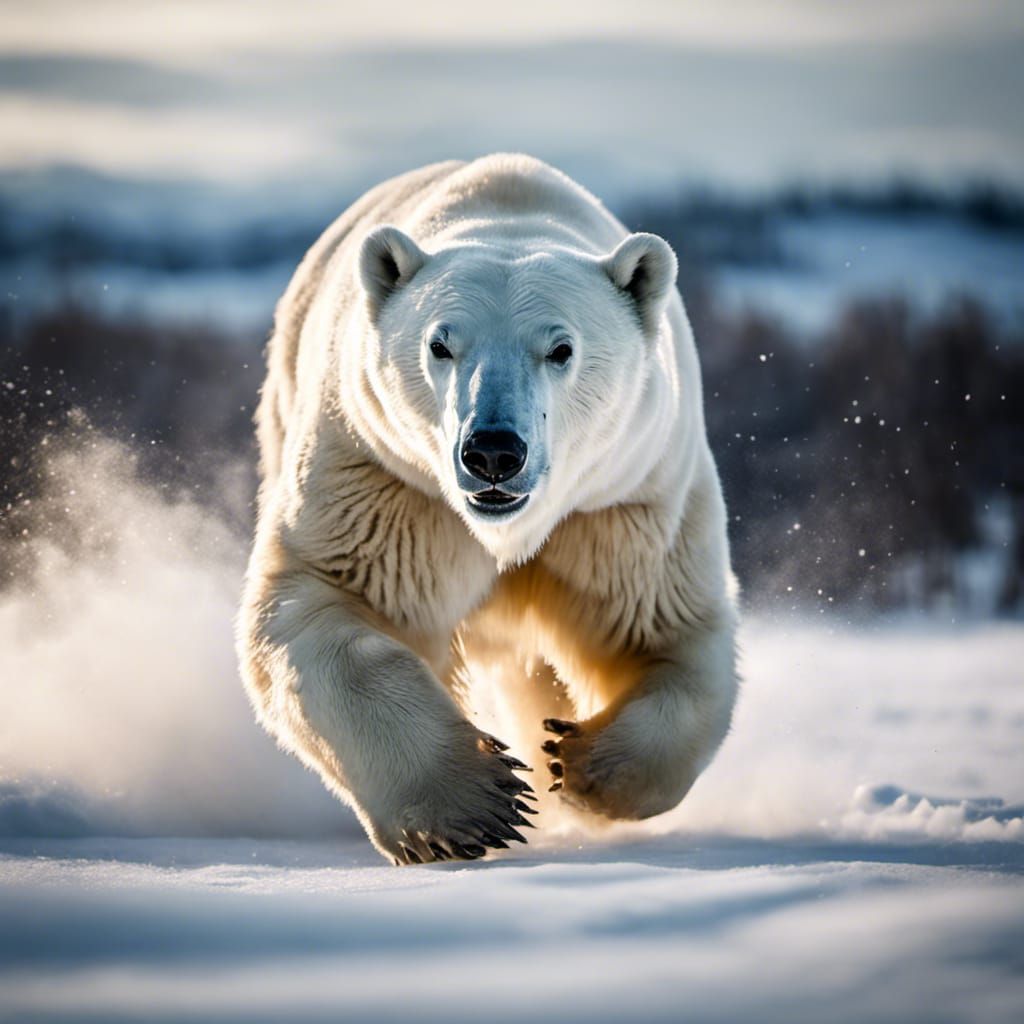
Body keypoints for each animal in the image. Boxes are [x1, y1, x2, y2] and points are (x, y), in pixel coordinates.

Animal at [237, 153, 738, 864]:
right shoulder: (387, 481)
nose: (493, 451)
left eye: (561, 348)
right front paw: (472, 805)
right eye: (440, 344)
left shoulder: (624, 502)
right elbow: (323, 607)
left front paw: (580, 762)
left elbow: (662, 630)